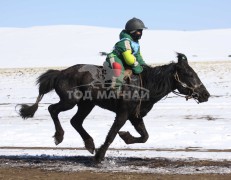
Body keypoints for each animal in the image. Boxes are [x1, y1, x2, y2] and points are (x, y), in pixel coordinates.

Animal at [18, 52, 209, 162]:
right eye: (189, 73)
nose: (206, 95)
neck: (146, 83)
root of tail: (60, 73)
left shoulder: (135, 116)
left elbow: (145, 136)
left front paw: (125, 136)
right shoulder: (123, 114)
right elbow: (111, 134)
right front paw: (100, 157)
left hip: (86, 105)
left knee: (75, 121)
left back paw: (89, 144)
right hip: (70, 101)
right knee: (53, 110)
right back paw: (60, 136)